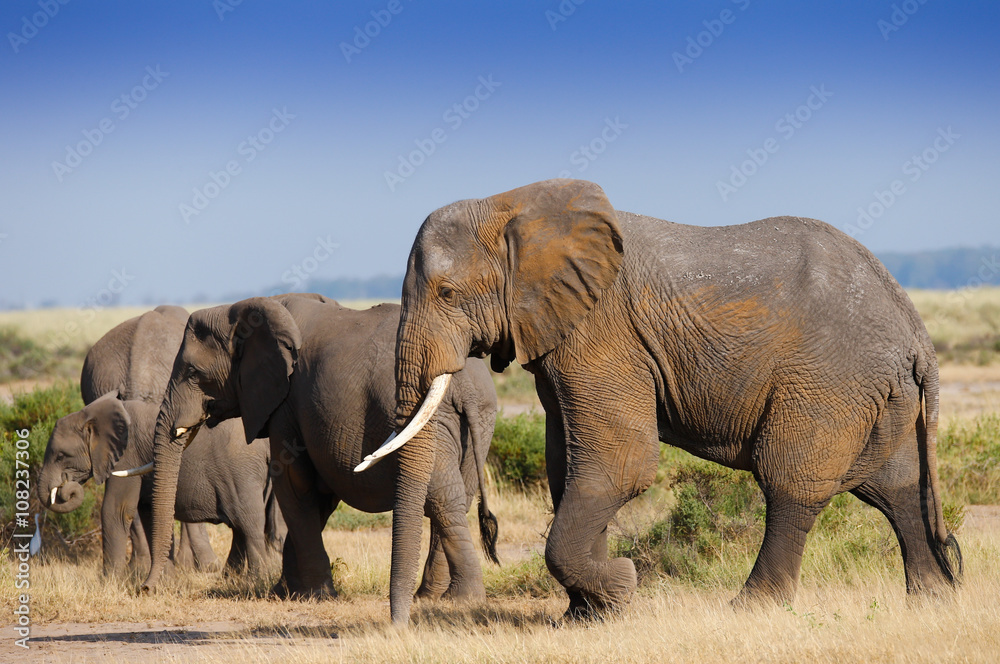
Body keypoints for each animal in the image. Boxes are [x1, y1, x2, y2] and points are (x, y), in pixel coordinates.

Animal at [141, 294, 499, 602]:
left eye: (192, 373)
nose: (147, 588)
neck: (245, 308)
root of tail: (466, 386)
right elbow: (319, 496)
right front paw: (284, 592)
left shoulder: (287, 402)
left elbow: (293, 484)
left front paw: (315, 594)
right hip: (478, 423)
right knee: (457, 496)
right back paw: (433, 596)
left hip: (427, 421)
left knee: (442, 498)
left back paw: (461, 598)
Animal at [379, 178, 962, 624]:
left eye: (447, 294)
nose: (402, 622)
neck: (514, 206)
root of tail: (914, 326)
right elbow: (568, 469)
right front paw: (586, 616)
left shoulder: (603, 333)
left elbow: (621, 466)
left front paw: (619, 588)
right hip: (881, 392)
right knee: (896, 487)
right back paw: (932, 601)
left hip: (829, 381)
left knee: (790, 484)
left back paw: (750, 608)